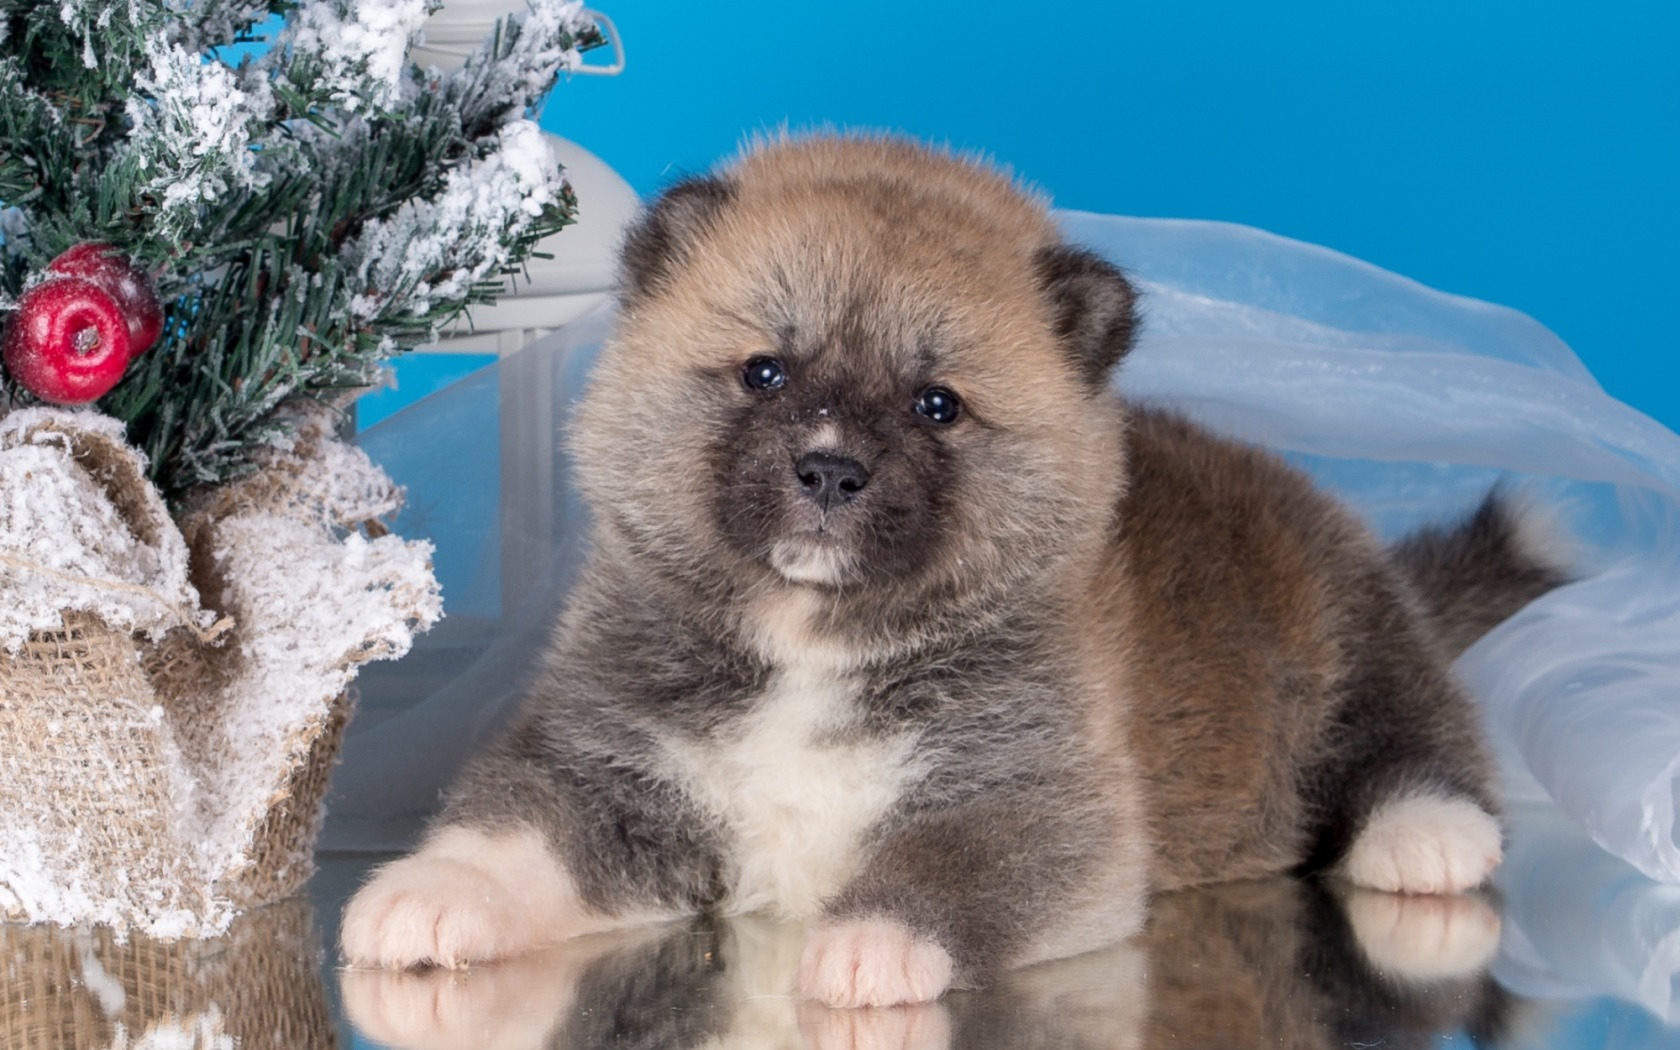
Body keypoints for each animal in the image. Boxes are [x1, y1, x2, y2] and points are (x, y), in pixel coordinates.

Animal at [337, 135, 1559, 1001]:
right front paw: (436, 890)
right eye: (766, 373)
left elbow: (949, 869)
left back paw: (1424, 832)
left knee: (1417, 734)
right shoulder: (604, 762)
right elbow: (515, 830)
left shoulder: (1036, 800)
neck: (810, 643)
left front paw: (873, 940)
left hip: (1353, 628)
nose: (831, 471)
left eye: (937, 405)